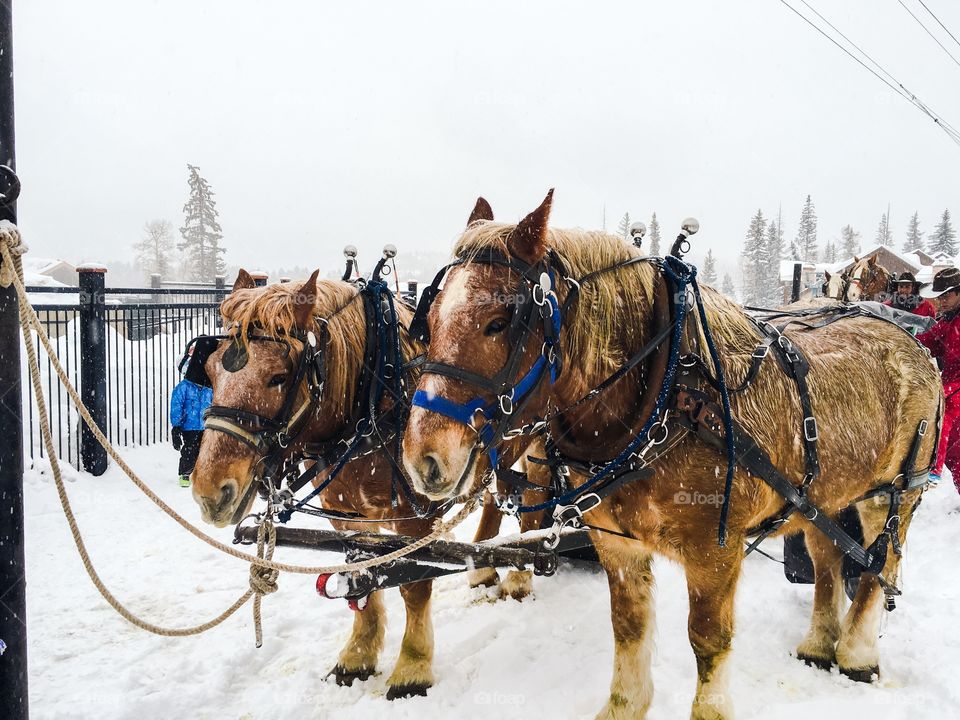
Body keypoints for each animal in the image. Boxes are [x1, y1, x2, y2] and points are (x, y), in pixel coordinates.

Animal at [402, 191, 940, 720]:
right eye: (427, 323)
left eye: (498, 323)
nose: (422, 458)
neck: (667, 392)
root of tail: (911, 341)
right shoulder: (615, 540)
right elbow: (628, 625)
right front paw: (624, 705)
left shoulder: (715, 551)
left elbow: (708, 640)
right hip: (823, 496)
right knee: (827, 558)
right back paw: (818, 644)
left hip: (894, 493)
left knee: (879, 565)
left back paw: (857, 653)